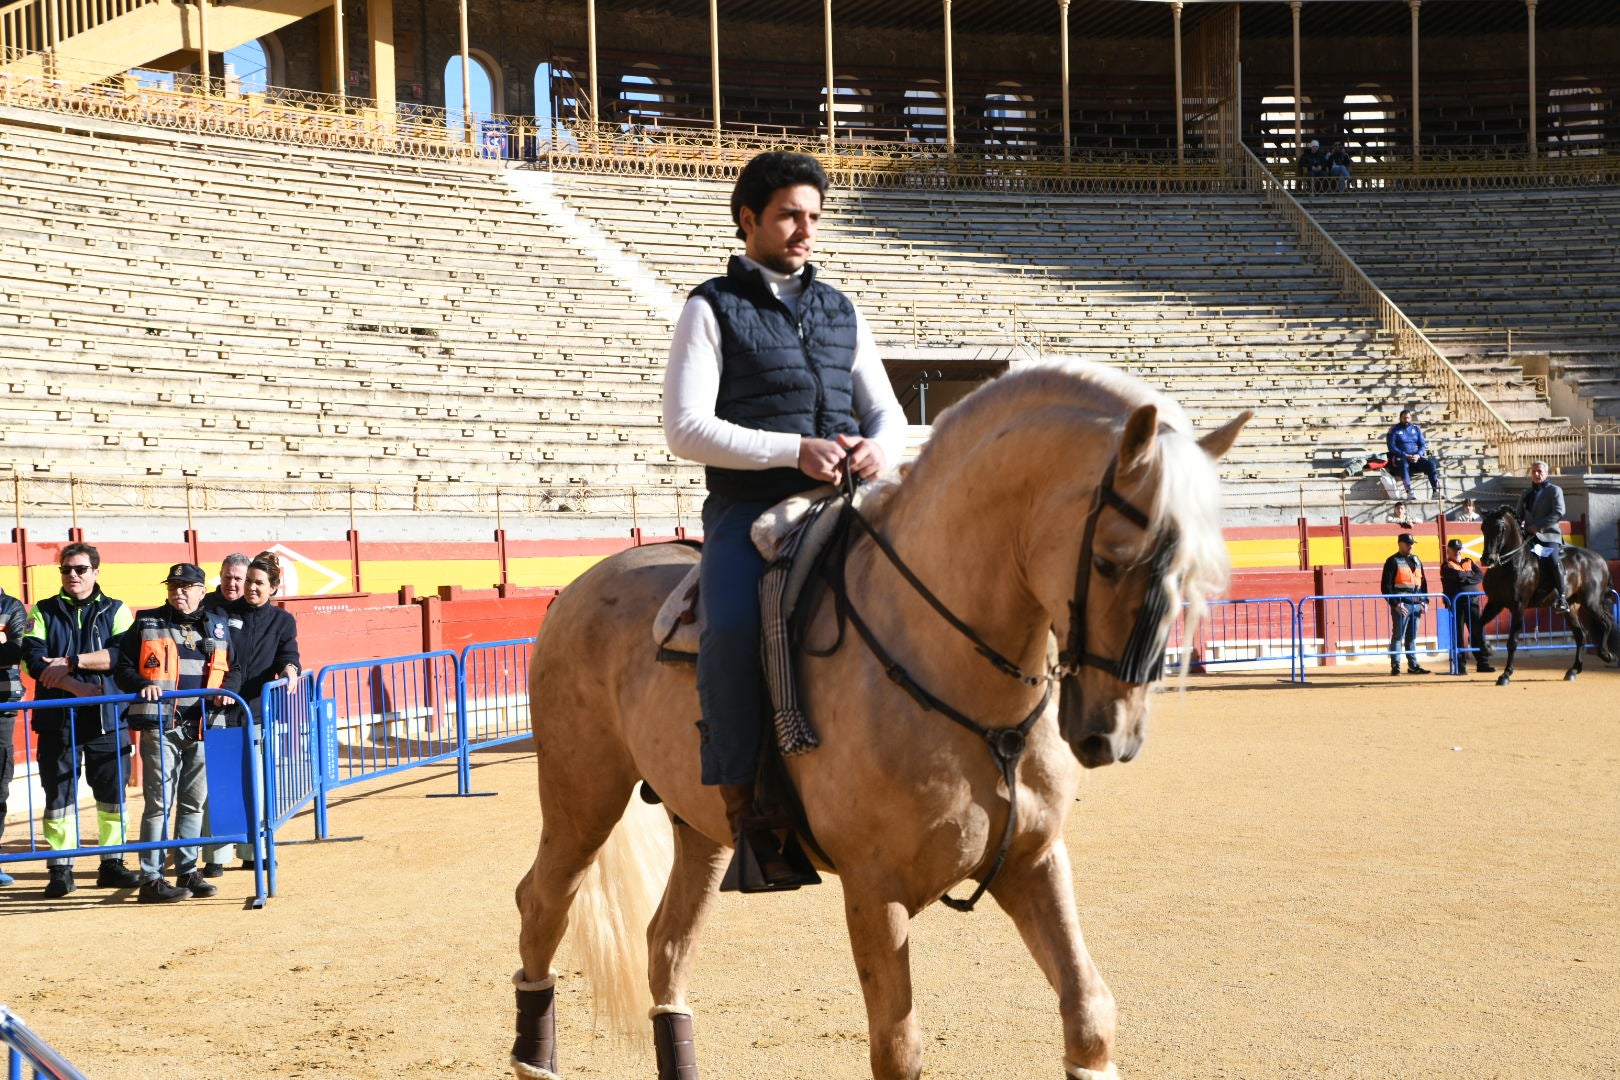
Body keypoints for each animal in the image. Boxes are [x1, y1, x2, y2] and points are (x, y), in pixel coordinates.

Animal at [511, 365, 1244, 1080]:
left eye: (1188, 571)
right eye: (1110, 559)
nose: (1110, 734)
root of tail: (578, 587)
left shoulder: (1033, 862)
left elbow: (1090, 1013)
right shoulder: (872, 889)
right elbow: (897, 1049)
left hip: (702, 828)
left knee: (665, 944)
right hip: (582, 798)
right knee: (542, 903)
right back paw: (532, 1056)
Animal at [1483, 505, 1620, 689]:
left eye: (1499, 529)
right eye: (1483, 528)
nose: (1487, 559)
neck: (1511, 563)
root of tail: (1600, 559)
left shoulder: (1518, 607)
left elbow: (1512, 642)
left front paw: (1505, 674)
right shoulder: (1494, 604)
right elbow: (1477, 625)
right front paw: (1486, 648)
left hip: (1591, 603)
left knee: (1606, 623)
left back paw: (1606, 655)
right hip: (1571, 608)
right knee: (1581, 635)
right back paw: (1573, 670)